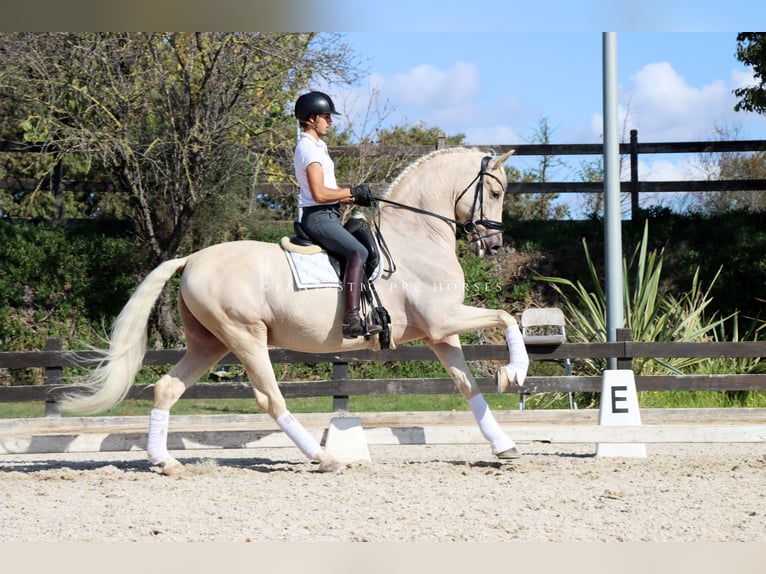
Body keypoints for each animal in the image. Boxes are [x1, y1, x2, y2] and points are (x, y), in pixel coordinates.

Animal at [58, 147, 529, 475]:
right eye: (495, 191)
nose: (494, 246)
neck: (417, 235)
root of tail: (191, 259)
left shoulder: (440, 332)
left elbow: (468, 385)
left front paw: (503, 444)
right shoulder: (443, 319)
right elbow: (507, 318)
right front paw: (514, 373)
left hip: (209, 343)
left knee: (166, 389)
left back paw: (165, 462)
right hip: (245, 336)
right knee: (270, 397)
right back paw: (324, 458)